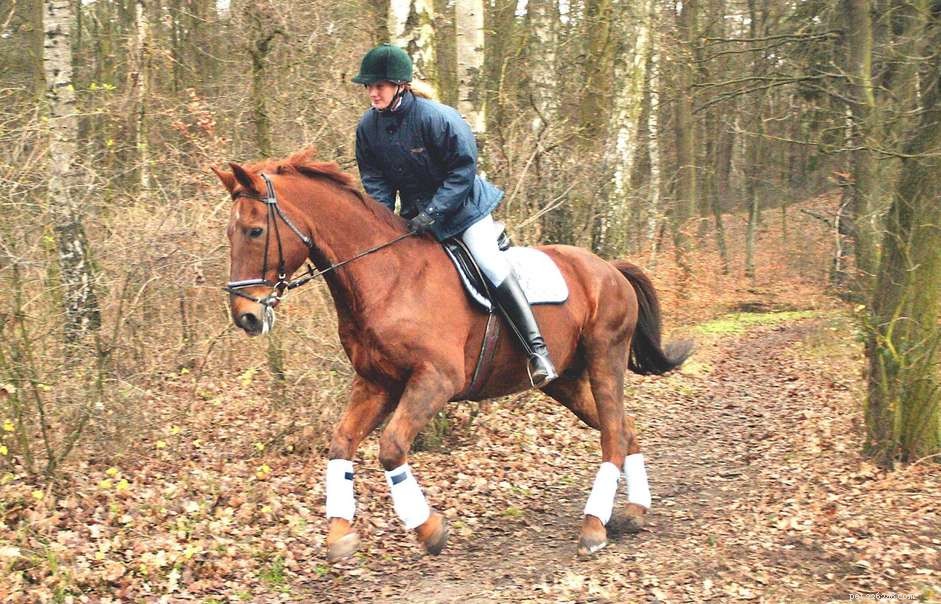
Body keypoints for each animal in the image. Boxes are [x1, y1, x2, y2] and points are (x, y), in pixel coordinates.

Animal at [212, 148, 691, 561]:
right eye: (230, 233)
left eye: (255, 231)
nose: (246, 317)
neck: (387, 278)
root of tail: (610, 268)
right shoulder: (376, 383)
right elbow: (341, 444)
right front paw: (339, 535)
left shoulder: (435, 380)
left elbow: (391, 448)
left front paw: (428, 528)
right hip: (566, 382)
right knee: (624, 429)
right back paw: (633, 512)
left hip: (604, 357)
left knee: (612, 435)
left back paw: (593, 526)